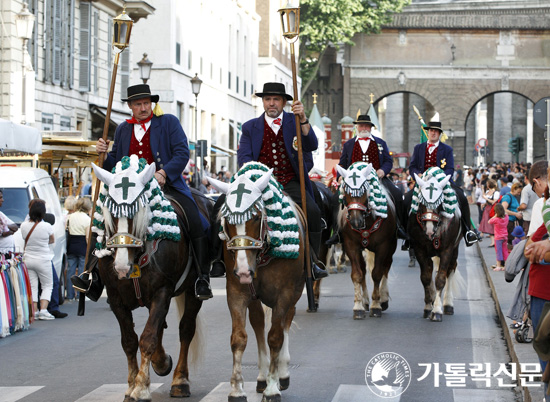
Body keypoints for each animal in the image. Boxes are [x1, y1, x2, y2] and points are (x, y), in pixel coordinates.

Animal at [91, 155, 206, 400]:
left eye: (136, 211)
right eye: (111, 213)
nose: (121, 267)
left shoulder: (162, 291)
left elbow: (148, 338)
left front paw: (141, 387)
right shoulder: (116, 299)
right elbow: (129, 340)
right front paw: (131, 384)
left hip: (192, 291)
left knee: (185, 329)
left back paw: (179, 380)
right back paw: (161, 363)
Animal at [209, 163, 308, 402]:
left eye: (255, 217)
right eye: (227, 220)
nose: (244, 271)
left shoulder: (285, 294)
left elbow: (276, 337)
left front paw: (273, 387)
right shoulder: (237, 293)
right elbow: (239, 337)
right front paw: (237, 388)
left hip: (295, 292)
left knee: (286, 322)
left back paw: (282, 374)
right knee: (258, 323)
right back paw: (262, 377)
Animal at [334, 162, 398, 318]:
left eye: (364, 191)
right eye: (346, 192)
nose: (356, 221)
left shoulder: (383, 246)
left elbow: (377, 273)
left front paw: (376, 305)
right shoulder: (351, 246)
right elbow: (357, 274)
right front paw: (358, 306)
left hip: (391, 246)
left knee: (386, 267)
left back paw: (383, 299)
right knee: (363, 269)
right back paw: (365, 301)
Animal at [410, 168, 466, 322]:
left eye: (439, 203)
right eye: (421, 203)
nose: (429, 230)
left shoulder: (447, 250)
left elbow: (440, 278)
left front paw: (436, 311)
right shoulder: (419, 249)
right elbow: (426, 277)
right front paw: (428, 307)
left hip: (455, 249)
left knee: (450, 270)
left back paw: (447, 304)